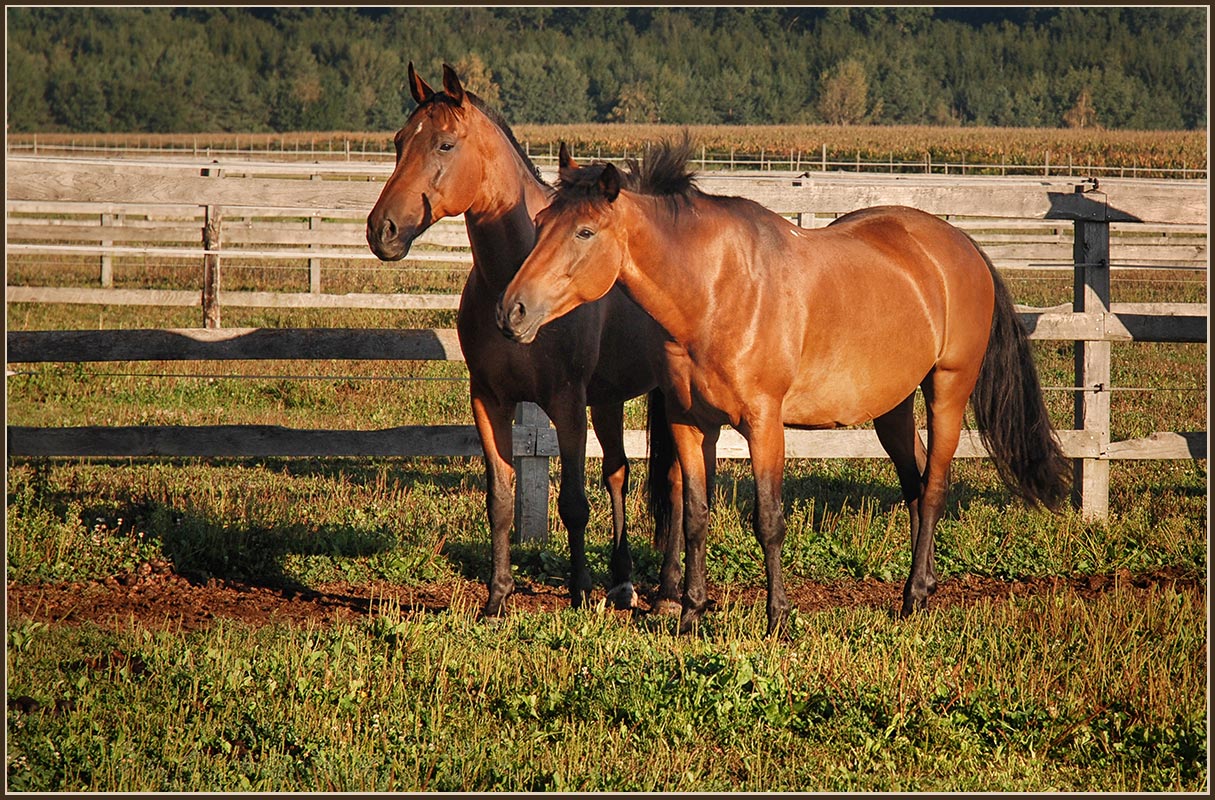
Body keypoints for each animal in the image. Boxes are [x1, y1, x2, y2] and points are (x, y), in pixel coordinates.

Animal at [362, 66, 685, 617]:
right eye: (400, 141)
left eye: (445, 144)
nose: (381, 230)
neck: (512, 273)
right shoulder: (490, 400)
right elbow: (500, 498)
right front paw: (497, 596)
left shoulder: (567, 402)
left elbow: (573, 502)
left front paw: (579, 592)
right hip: (609, 398)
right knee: (618, 473)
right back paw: (623, 582)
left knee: (675, 482)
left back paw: (665, 591)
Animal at [498, 138, 1069, 637]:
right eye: (541, 223)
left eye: (585, 232)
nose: (512, 311)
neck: (714, 291)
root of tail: (964, 247)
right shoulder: (689, 422)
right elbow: (695, 517)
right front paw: (689, 614)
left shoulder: (764, 423)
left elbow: (769, 519)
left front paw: (777, 619)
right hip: (893, 407)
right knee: (913, 483)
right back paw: (922, 587)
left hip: (947, 389)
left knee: (932, 489)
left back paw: (912, 599)